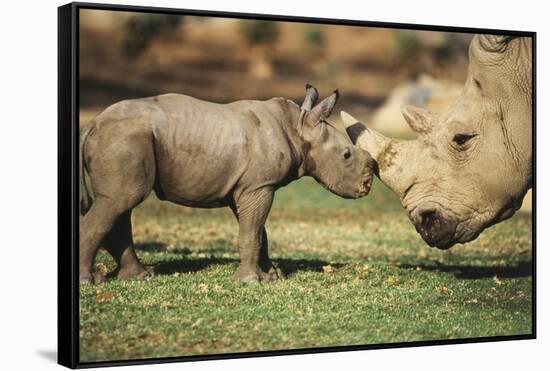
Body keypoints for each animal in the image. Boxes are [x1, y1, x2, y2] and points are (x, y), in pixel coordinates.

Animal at [78, 85, 376, 284]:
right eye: (346, 155)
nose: (367, 185)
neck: (298, 127)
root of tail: (92, 123)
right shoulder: (259, 186)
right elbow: (252, 232)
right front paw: (250, 281)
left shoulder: (250, 186)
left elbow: (258, 231)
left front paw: (271, 276)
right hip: (124, 138)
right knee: (120, 201)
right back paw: (90, 281)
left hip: (126, 139)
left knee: (120, 204)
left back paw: (140, 276)